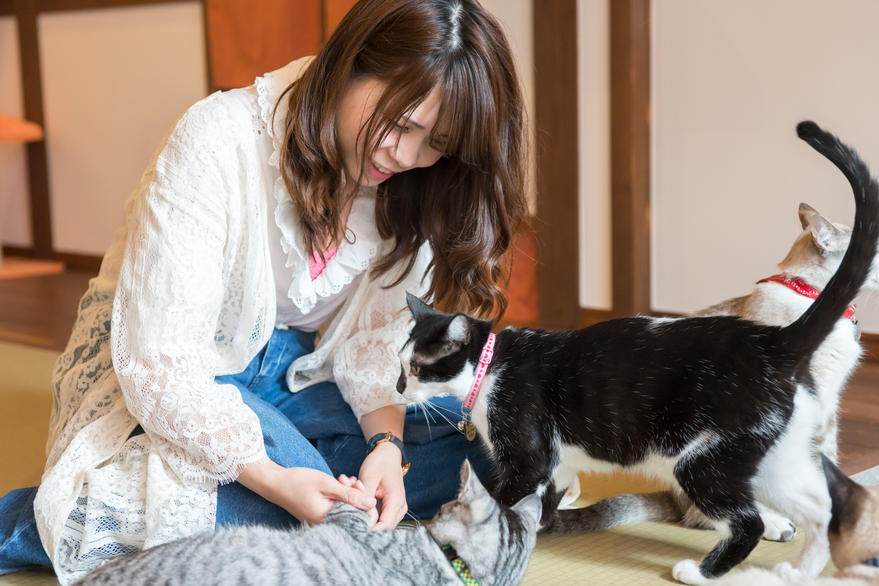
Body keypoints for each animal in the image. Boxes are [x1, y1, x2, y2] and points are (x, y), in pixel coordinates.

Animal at [564, 201, 879, 544]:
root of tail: (670, 499)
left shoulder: (829, 407)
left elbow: (828, 462)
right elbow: (817, 468)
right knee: (703, 515)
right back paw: (776, 525)